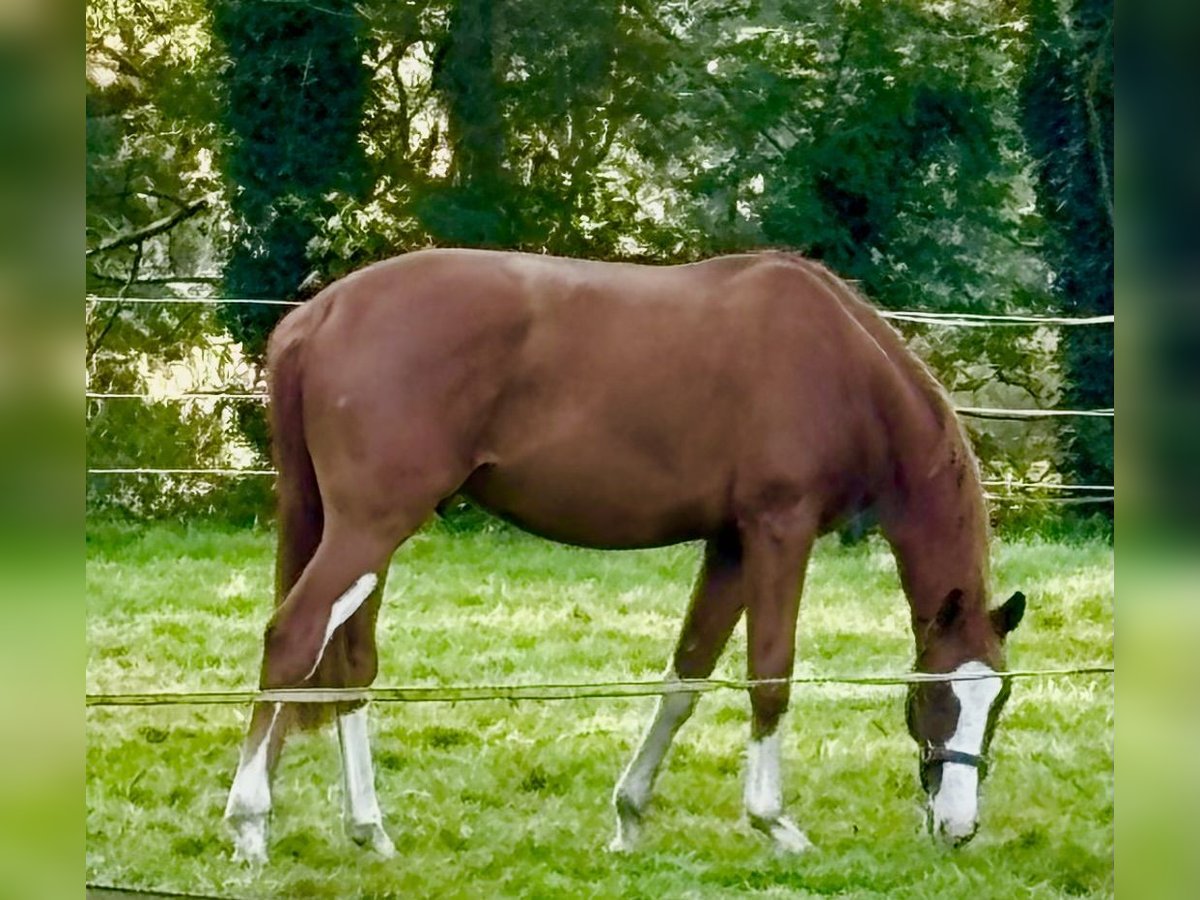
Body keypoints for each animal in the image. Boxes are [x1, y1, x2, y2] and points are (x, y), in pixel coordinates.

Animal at [223, 248, 1022, 868]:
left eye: (999, 701)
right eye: (939, 696)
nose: (958, 827)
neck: (840, 365)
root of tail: (317, 316)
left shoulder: (730, 542)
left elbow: (688, 673)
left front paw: (630, 814)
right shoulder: (779, 530)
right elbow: (769, 674)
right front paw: (774, 823)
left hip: (367, 532)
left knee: (349, 667)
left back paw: (369, 832)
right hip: (370, 527)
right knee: (293, 639)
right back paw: (250, 824)